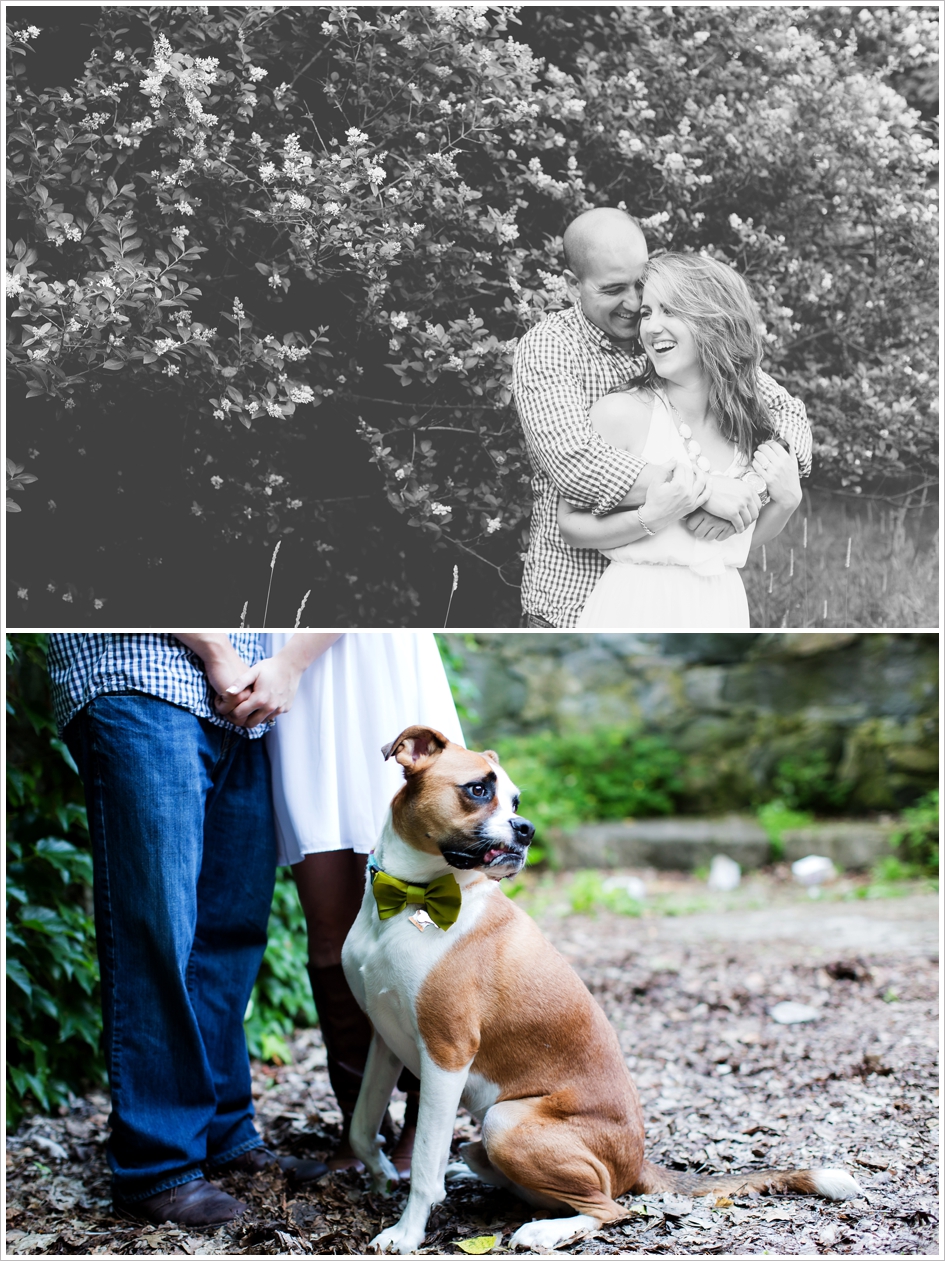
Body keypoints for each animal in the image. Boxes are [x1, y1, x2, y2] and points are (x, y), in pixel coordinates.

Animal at [340, 731, 862, 1250]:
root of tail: (637, 1162)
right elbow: (362, 1126)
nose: (526, 829)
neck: (409, 899)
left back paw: (545, 1231)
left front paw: (407, 1232)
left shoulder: (446, 1053)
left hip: (505, 1123)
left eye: (515, 800)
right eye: (478, 790)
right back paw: (475, 1177)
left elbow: (425, 1163)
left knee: (609, 1207)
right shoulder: (384, 1041)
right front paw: (381, 1173)